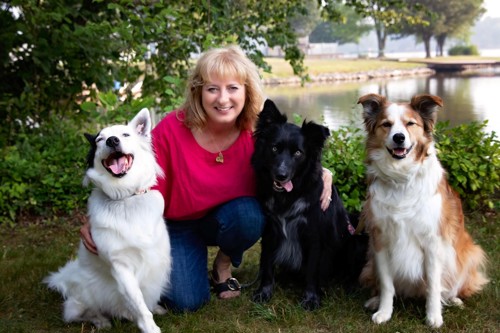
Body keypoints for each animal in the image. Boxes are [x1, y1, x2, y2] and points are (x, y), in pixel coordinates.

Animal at [44, 109, 172, 332]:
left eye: (125, 135)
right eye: (99, 139)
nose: (112, 140)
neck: (125, 198)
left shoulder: (156, 257)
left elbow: (148, 293)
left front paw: (154, 308)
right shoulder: (120, 266)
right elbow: (138, 302)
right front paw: (150, 327)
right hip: (84, 296)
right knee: (77, 313)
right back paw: (100, 320)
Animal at [252, 98, 366, 308]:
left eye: (298, 153)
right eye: (274, 148)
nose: (281, 176)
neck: (289, 196)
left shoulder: (315, 236)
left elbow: (313, 271)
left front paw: (311, 298)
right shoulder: (270, 231)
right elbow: (266, 264)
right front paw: (264, 292)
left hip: (357, 237)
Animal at [356, 93, 488, 326]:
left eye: (410, 123)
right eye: (386, 124)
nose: (399, 137)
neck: (401, 178)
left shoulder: (433, 242)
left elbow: (434, 285)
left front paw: (433, 316)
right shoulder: (380, 241)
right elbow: (387, 285)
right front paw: (384, 311)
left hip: (469, 252)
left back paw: (453, 299)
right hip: (369, 261)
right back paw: (374, 300)